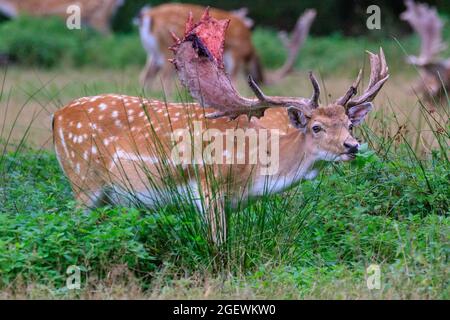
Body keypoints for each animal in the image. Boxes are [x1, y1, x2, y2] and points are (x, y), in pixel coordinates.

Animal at [135, 3, 314, 91]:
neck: (249, 50)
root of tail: (146, 16)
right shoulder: (236, 54)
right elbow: (234, 82)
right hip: (167, 47)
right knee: (164, 79)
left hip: (153, 54)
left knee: (145, 76)